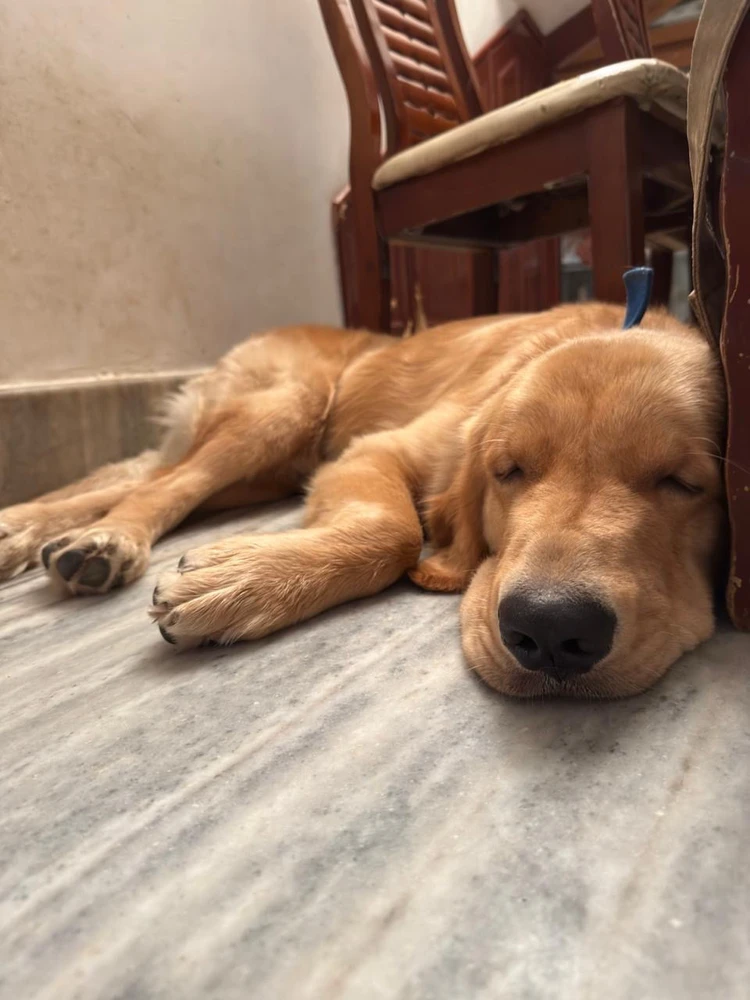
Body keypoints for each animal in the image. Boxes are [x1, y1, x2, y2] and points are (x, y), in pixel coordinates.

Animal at [0, 302, 725, 698]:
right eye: (509, 471)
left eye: (685, 484)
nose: (550, 630)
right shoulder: (378, 450)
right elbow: (395, 530)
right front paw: (239, 580)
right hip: (283, 409)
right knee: (163, 484)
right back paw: (101, 542)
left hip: (265, 468)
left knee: (143, 479)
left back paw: (27, 529)